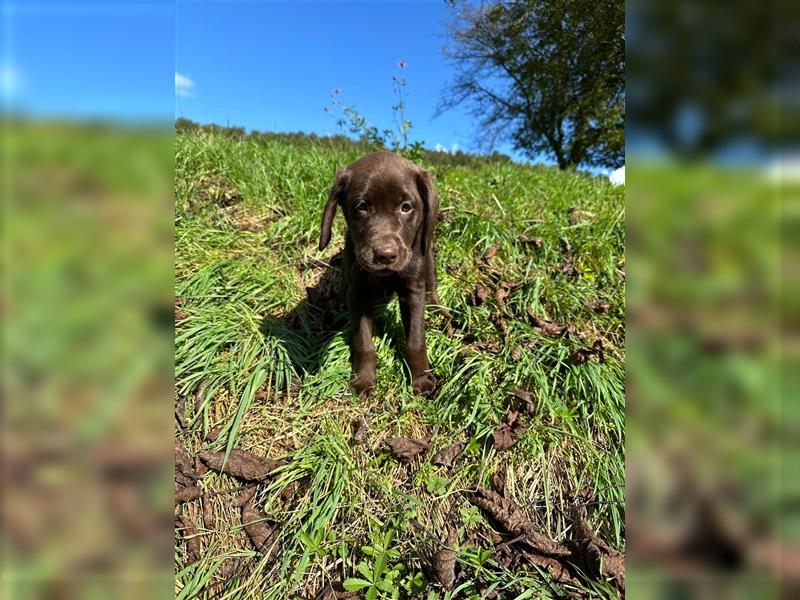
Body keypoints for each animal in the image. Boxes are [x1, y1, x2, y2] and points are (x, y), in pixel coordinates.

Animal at [318, 149, 444, 398]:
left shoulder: (413, 290)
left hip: (428, 258)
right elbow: (363, 342)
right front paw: (364, 380)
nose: (385, 256)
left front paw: (421, 379)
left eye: (406, 207)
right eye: (361, 207)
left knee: (432, 285)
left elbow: (415, 341)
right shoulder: (357, 294)